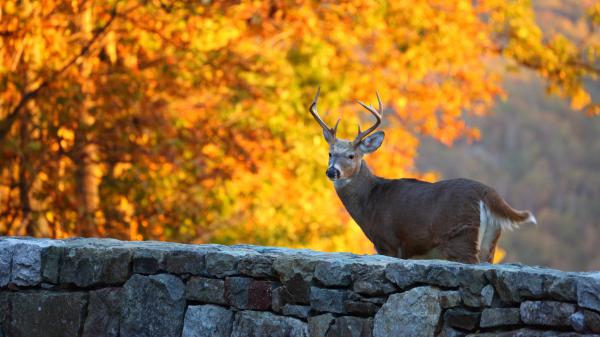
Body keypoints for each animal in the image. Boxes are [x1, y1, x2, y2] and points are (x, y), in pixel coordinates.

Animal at [310, 88, 536, 262]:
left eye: (352, 155)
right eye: (330, 153)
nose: (332, 171)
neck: (371, 202)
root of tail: (488, 193)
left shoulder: (389, 242)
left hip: (462, 237)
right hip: (490, 243)